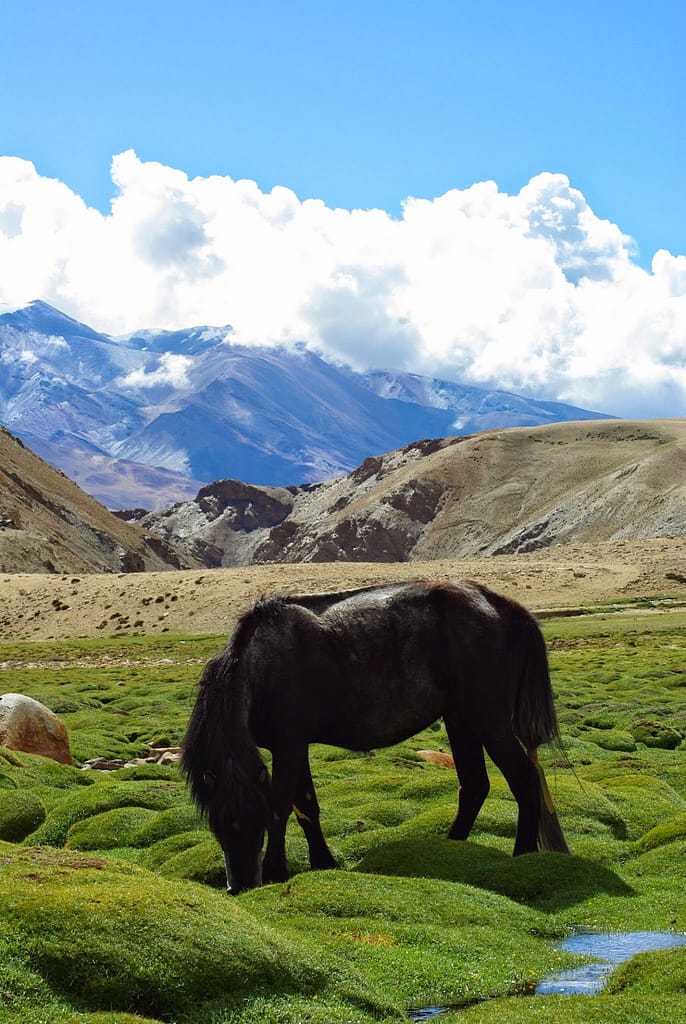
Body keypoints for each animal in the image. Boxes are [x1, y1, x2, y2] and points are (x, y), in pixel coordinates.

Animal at [182, 579, 569, 893]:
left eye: (252, 821)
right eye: (217, 825)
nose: (239, 886)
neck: (257, 668)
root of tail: (502, 605)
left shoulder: (288, 745)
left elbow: (281, 806)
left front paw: (276, 870)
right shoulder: (292, 745)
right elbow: (306, 805)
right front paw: (323, 862)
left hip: (488, 719)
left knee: (523, 778)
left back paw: (521, 854)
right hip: (460, 719)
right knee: (475, 786)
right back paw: (449, 844)